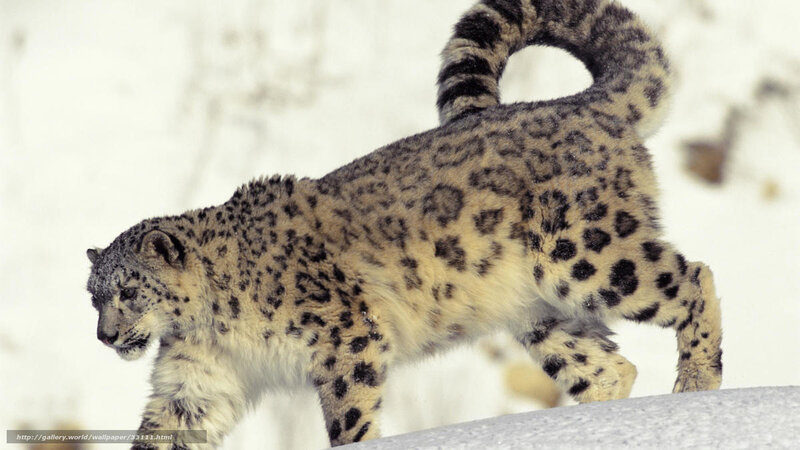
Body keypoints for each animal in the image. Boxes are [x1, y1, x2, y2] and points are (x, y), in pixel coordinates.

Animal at [86, 0, 723, 447]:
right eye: (93, 296)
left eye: (129, 291)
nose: (105, 337)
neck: (210, 323)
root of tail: (584, 104)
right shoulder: (197, 377)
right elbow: (166, 427)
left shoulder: (343, 335)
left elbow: (348, 413)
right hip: (541, 313)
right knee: (609, 367)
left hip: (587, 253)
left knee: (694, 277)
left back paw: (696, 383)